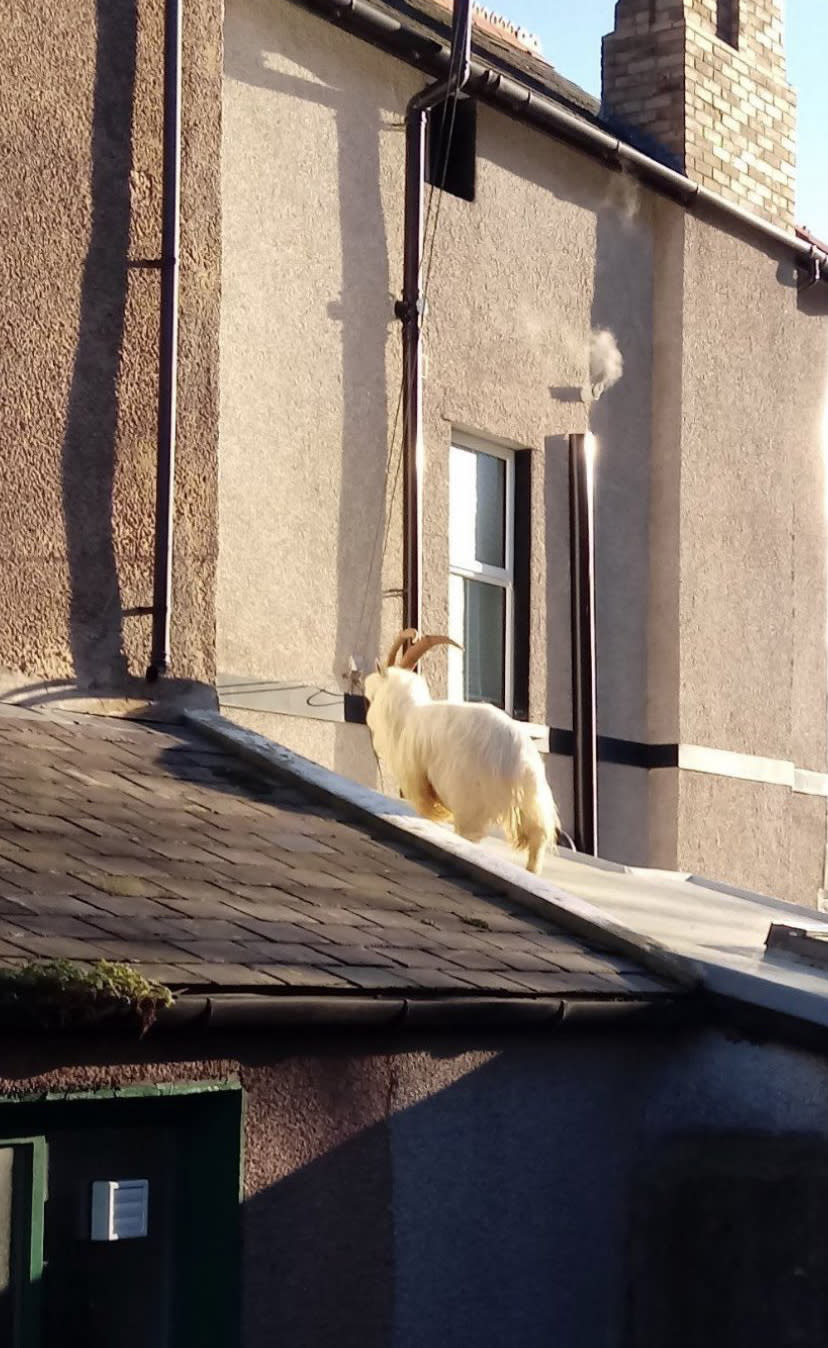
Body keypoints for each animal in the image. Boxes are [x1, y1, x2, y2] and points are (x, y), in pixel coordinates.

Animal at [366, 630, 560, 873]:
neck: (409, 712)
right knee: (537, 841)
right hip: (533, 809)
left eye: (372, 696)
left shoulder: (419, 783)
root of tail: (517, 759)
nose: (368, 721)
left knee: (470, 836)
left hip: (470, 805)